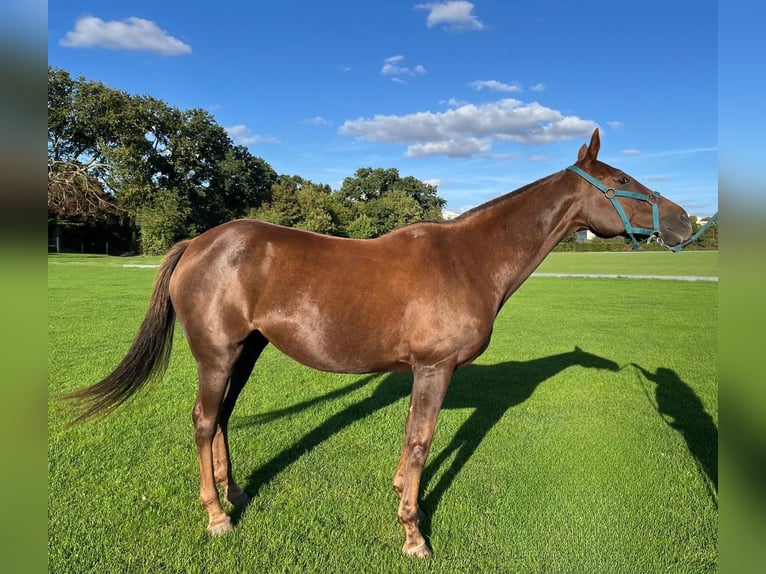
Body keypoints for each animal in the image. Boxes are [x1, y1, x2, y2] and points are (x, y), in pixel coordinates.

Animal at [66, 129, 693, 558]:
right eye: (621, 183)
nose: (686, 223)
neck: (470, 259)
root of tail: (198, 243)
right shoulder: (436, 368)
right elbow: (421, 442)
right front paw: (414, 533)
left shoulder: (425, 371)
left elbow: (411, 440)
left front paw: (398, 496)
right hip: (217, 354)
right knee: (202, 420)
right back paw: (217, 516)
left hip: (246, 351)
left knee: (221, 417)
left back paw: (236, 494)